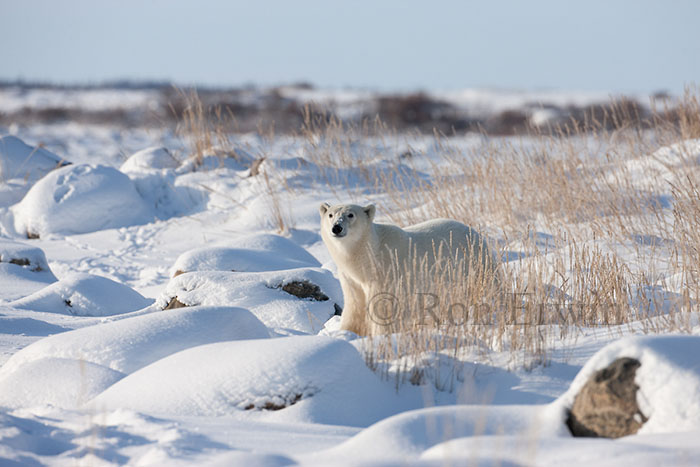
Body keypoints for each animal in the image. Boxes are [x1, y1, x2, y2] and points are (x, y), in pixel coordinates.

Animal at [320, 203, 494, 334]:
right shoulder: (351, 279)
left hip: (472, 268)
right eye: (330, 215)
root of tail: (477, 234)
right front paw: (347, 332)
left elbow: (383, 307)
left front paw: (380, 335)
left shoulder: (386, 273)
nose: (336, 227)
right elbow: (354, 305)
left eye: (350, 215)